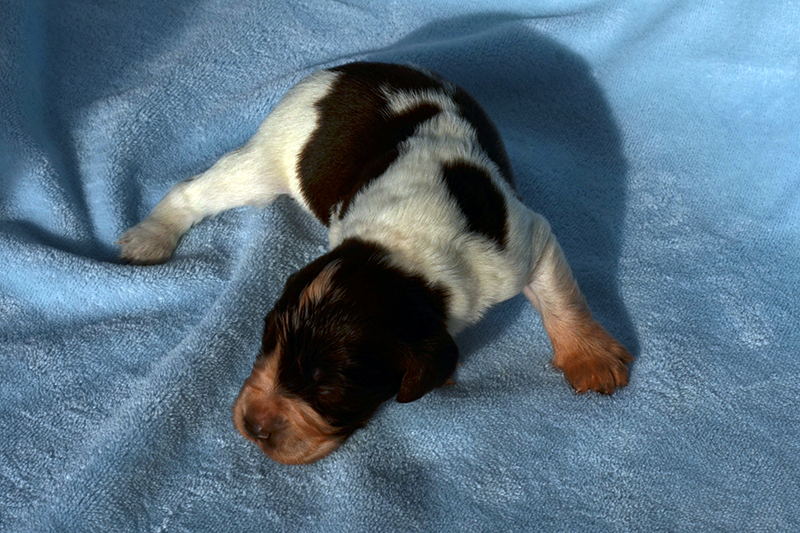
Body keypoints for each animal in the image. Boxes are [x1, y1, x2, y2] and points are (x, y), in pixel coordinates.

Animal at [117, 61, 632, 462]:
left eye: (331, 388)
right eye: (268, 343)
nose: (253, 426)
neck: (401, 250)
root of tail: (342, 71)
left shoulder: (521, 244)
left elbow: (561, 298)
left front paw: (591, 358)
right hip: (266, 159)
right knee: (194, 191)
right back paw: (149, 237)